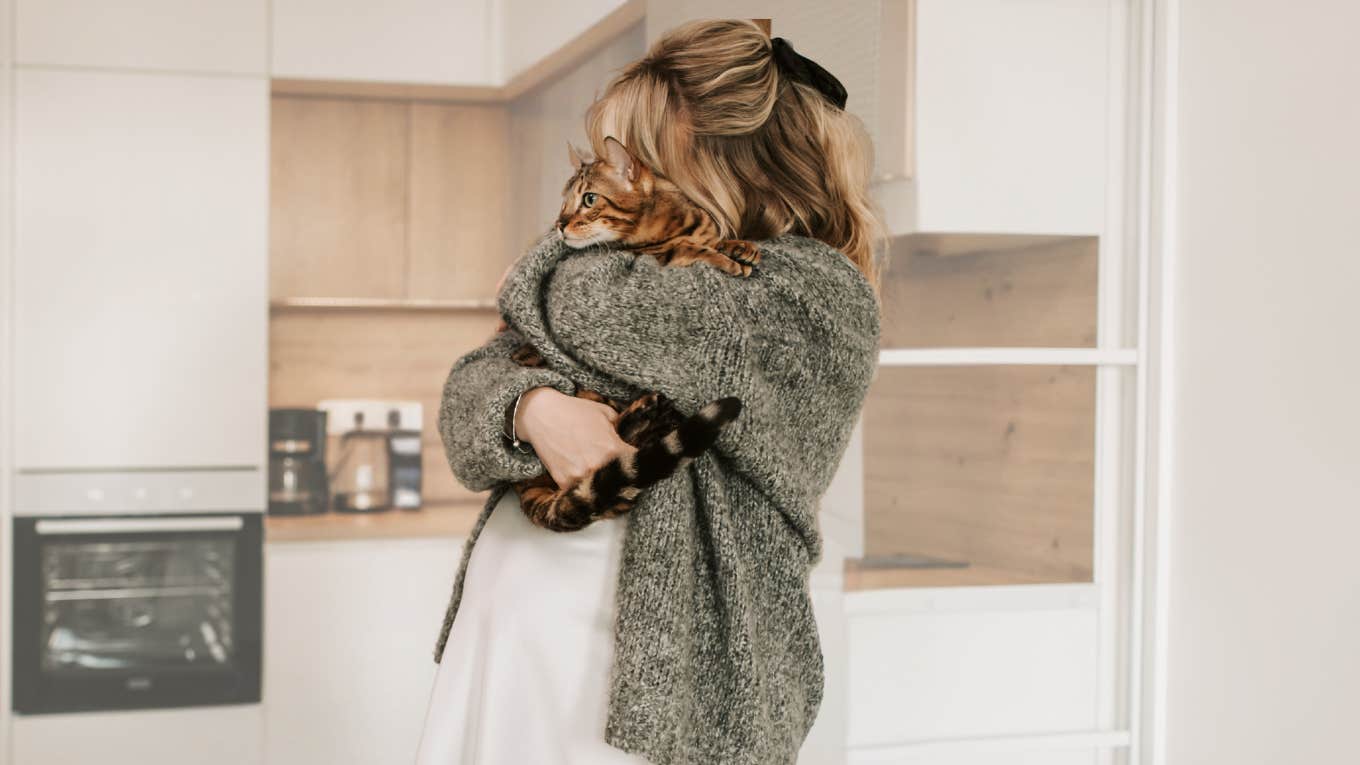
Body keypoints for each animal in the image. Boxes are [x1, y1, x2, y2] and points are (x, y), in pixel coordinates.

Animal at [503, 135, 756, 530]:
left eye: (589, 199)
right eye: (564, 201)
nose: (559, 223)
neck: (673, 220)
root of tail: (525, 491)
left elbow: (716, 240)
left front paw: (740, 246)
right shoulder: (654, 255)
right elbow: (685, 249)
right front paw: (723, 257)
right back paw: (647, 412)